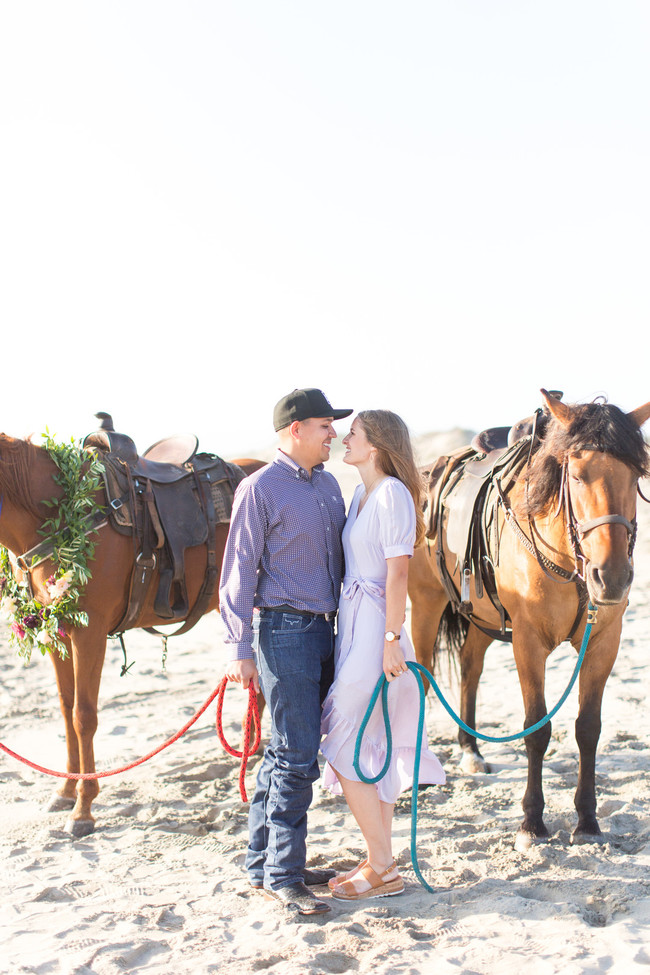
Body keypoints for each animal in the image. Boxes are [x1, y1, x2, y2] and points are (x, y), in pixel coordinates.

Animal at [0, 434, 264, 840]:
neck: (56, 511)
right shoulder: (56, 629)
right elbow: (65, 708)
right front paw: (65, 791)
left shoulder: (89, 631)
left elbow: (83, 716)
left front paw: (83, 808)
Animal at [408, 388, 648, 848]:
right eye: (577, 476)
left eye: (635, 475)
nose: (611, 578)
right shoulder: (528, 642)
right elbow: (537, 730)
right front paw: (532, 823)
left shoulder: (603, 642)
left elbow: (588, 728)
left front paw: (587, 820)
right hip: (425, 603)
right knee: (422, 676)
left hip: (483, 614)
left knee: (470, 666)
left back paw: (470, 750)